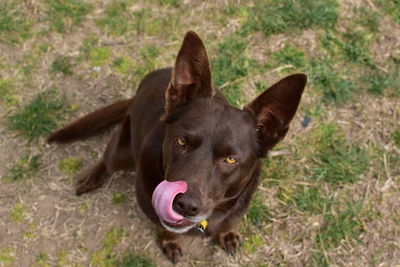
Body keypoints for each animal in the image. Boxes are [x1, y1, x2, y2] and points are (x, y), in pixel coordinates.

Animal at [49, 30, 306, 262]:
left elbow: (231, 221)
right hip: (122, 152)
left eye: (231, 159)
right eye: (182, 141)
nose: (184, 205)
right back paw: (92, 176)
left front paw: (228, 234)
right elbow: (165, 228)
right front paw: (171, 242)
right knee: (107, 157)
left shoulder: (240, 203)